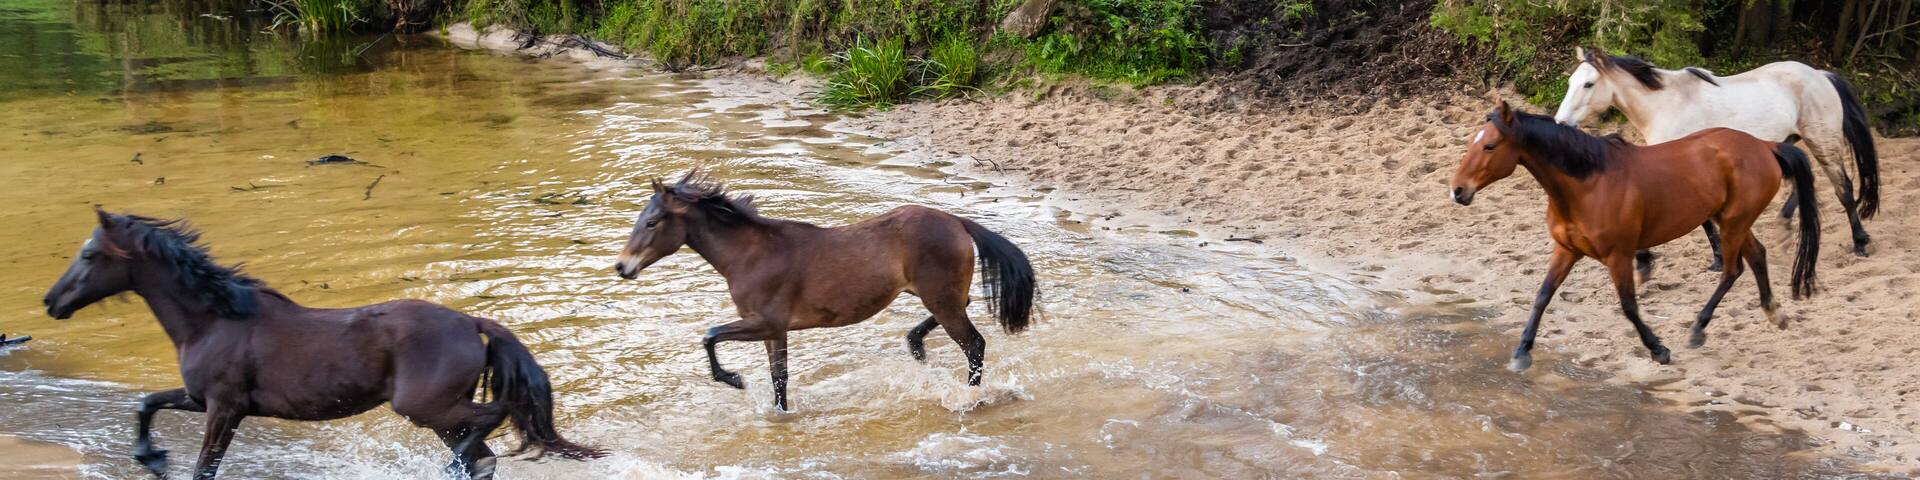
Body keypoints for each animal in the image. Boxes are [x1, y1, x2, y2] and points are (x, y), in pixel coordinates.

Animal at [41, 209, 604, 479]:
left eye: (89, 255)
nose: (51, 301)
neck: (211, 319)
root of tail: (471, 323)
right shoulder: (201, 398)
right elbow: (146, 402)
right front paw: (152, 459)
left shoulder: (224, 407)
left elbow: (204, 468)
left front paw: (157, 460)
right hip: (439, 414)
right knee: (483, 456)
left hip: (424, 407)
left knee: (494, 420)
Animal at [613, 171, 1038, 411]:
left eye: (652, 222)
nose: (622, 266)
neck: (750, 254)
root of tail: (956, 220)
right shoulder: (774, 331)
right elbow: (779, 378)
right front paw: (779, 413)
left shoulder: (766, 323)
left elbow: (710, 335)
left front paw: (733, 378)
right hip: (933, 294)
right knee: (965, 307)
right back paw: (915, 343)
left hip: (940, 298)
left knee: (975, 345)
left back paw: (969, 397)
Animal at [1450, 101, 1821, 372]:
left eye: (1490, 145)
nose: (1458, 190)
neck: (1587, 184)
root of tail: (1765, 146)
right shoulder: (1565, 249)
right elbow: (1542, 296)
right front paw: (1521, 351)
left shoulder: (1618, 256)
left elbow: (1628, 306)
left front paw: (1658, 349)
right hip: (1731, 220)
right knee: (1756, 255)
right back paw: (1774, 312)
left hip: (1733, 223)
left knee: (1732, 270)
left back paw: (1698, 329)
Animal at [1554, 47, 1878, 274]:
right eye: (1570, 81)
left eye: (1588, 84)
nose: (1561, 122)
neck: (1665, 105)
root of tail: (1821, 75)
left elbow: (1703, 219)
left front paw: (1718, 261)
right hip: (1792, 141)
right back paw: (1786, 224)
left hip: (1823, 141)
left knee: (1843, 188)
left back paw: (1860, 242)